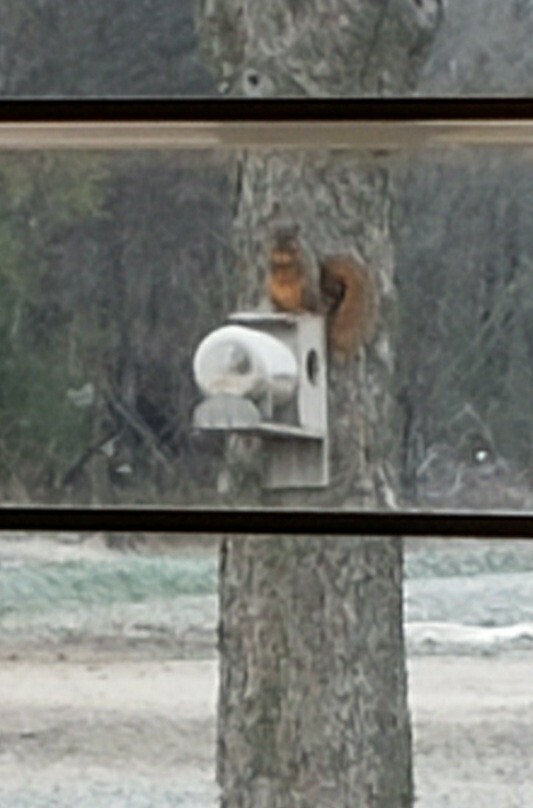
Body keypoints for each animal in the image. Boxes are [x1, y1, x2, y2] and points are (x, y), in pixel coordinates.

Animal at [268, 224, 377, 362]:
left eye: (291, 238)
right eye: (274, 237)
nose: (281, 249)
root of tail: (321, 299)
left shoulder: (302, 262)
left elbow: (293, 268)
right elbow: (273, 266)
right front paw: (279, 262)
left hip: (307, 292)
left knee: (311, 308)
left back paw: (300, 310)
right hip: (274, 294)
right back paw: (279, 310)